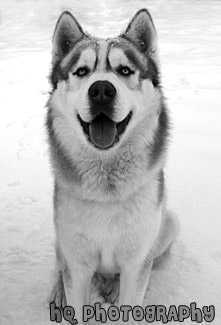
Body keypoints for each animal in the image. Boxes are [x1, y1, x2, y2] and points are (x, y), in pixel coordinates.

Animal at [47, 8, 180, 322]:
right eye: (82, 71)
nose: (101, 91)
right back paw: (59, 291)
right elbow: (73, 287)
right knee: (60, 264)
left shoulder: (136, 262)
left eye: (125, 71)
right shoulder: (77, 264)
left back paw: (112, 285)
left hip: (168, 226)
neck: (106, 186)